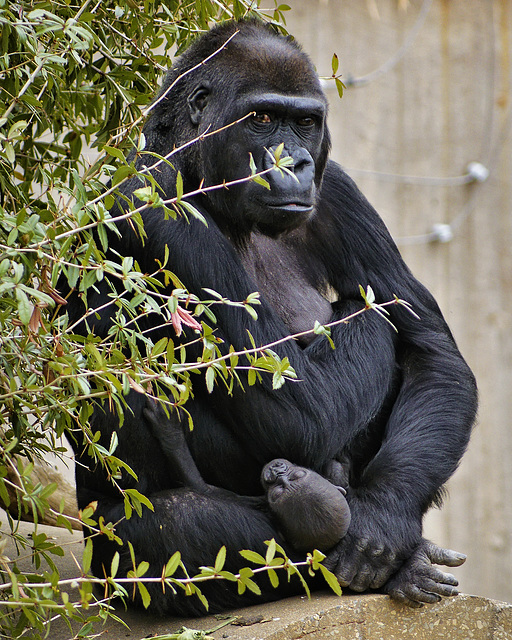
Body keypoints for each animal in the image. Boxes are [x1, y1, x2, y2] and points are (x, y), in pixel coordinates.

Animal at [146, 400, 350, 556]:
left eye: (277, 492)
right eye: (296, 475)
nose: (276, 471)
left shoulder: (257, 502)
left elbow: (199, 486)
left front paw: (170, 432)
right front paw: (338, 467)